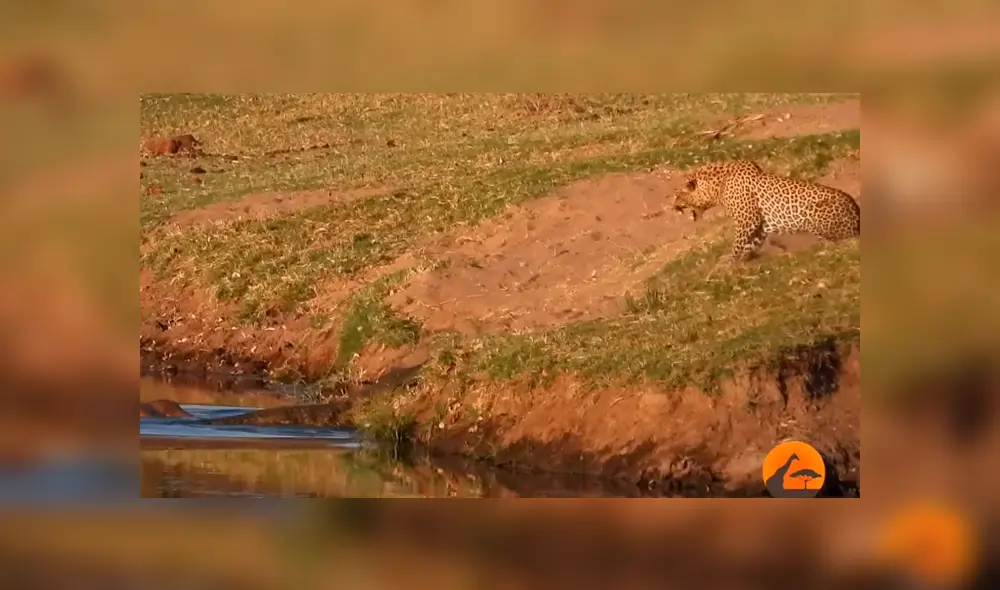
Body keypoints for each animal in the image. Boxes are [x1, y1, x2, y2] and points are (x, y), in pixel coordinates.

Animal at [671, 159, 861, 262]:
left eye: (678, 196)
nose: (673, 206)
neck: (717, 187)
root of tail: (857, 214)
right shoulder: (760, 224)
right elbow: (749, 244)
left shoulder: (748, 220)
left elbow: (737, 245)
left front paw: (729, 264)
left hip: (814, 214)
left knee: (839, 240)